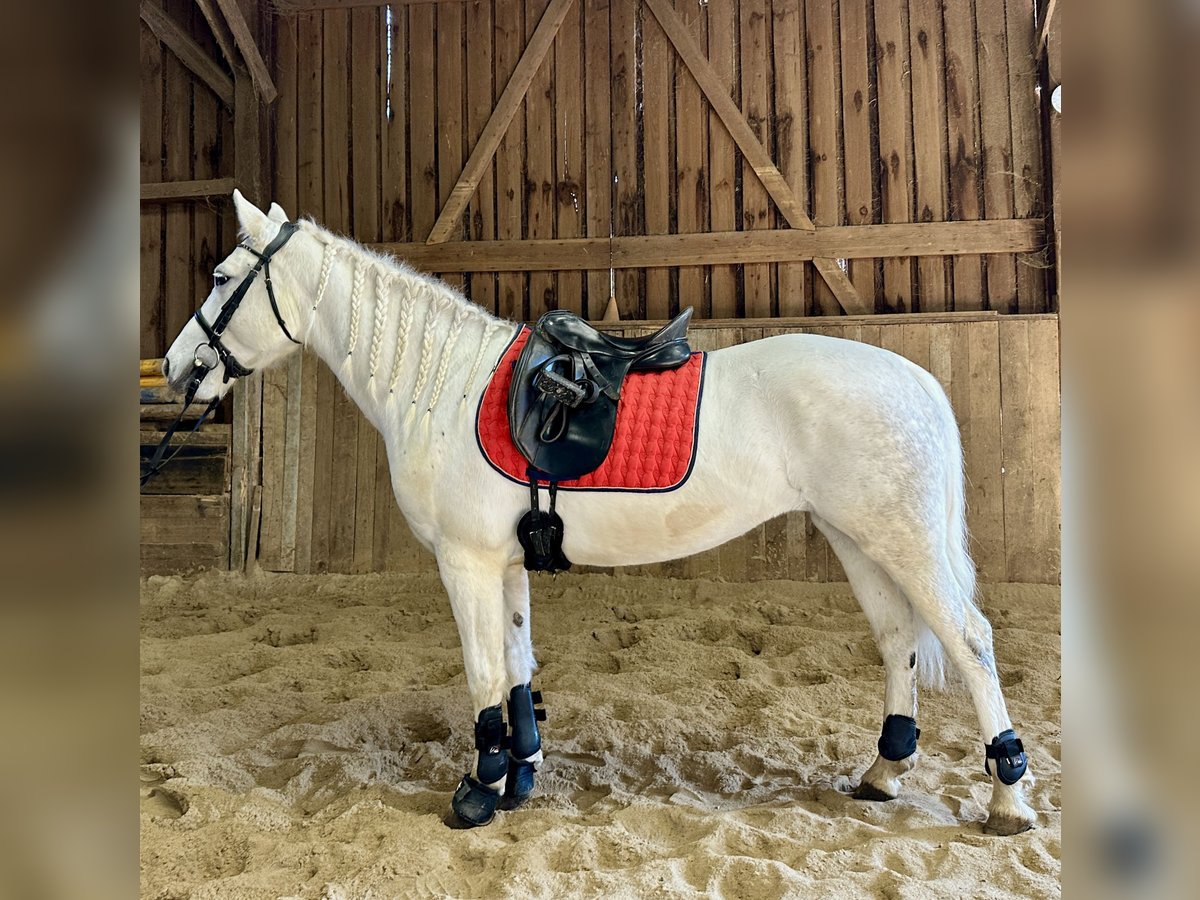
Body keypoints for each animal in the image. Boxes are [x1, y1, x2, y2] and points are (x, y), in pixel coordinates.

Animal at [158, 191, 1037, 835]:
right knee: (898, 640)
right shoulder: (506, 562)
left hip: (901, 539)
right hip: (857, 536)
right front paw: (518, 775)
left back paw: (1007, 797)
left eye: (220, 275)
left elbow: (483, 673)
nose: (175, 367)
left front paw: (475, 794)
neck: (443, 386)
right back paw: (884, 773)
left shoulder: (466, 561)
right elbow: (517, 668)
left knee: (969, 640)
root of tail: (915, 378)